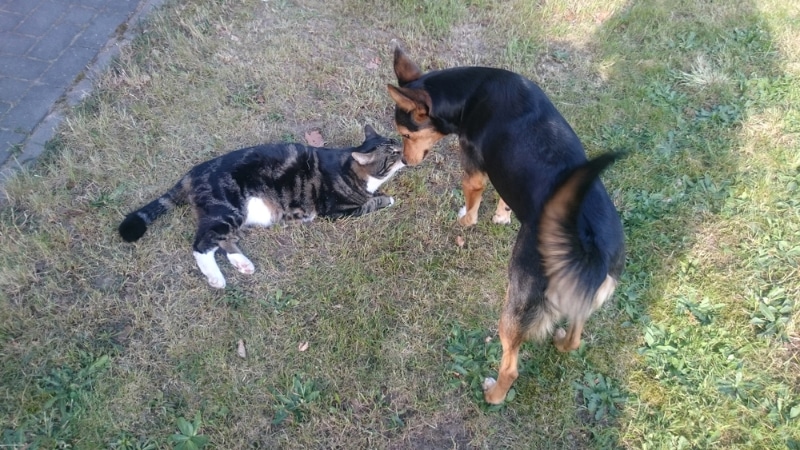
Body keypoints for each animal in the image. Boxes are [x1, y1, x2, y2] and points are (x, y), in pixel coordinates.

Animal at [117, 125, 406, 290]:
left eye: (396, 143)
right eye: (393, 153)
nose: (405, 147)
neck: (351, 165)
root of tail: (193, 172)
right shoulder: (338, 211)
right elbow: (371, 202)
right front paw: (387, 199)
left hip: (234, 215)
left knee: (222, 240)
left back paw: (242, 263)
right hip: (228, 209)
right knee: (201, 244)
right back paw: (216, 279)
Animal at [388, 47, 624, 406]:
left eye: (406, 135)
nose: (404, 162)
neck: (472, 93)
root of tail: (591, 248)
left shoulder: (473, 169)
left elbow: (471, 204)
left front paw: (464, 220)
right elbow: (505, 197)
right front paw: (502, 215)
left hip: (516, 302)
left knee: (511, 367)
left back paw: (493, 395)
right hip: (582, 301)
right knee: (575, 339)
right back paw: (560, 341)